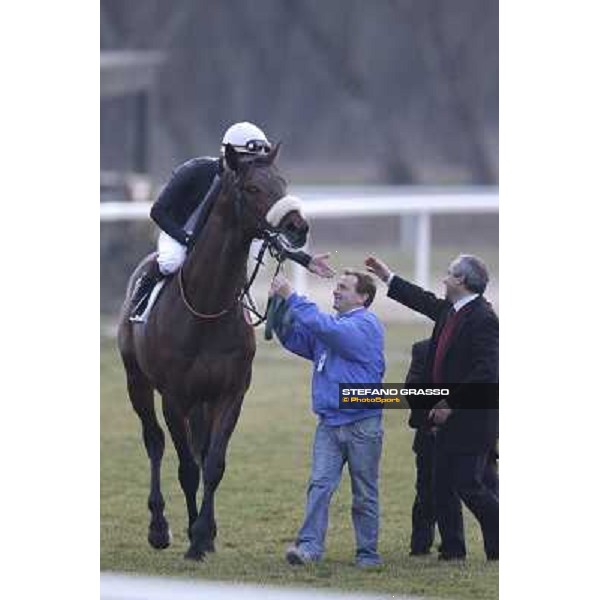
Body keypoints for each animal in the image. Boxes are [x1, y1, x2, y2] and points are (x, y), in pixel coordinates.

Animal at [116, 143, 310, 560]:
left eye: (283, 182)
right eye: (252, 188)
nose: (297, 226)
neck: (208, 306)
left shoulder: (230, 392)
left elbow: (213, 464)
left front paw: (204, 534)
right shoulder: (174, 396)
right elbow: (186, 467)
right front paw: (189, 537)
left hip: (201, 400)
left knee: (199, 449)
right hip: (137, 381)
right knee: (154, 442)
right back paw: (160, 527)